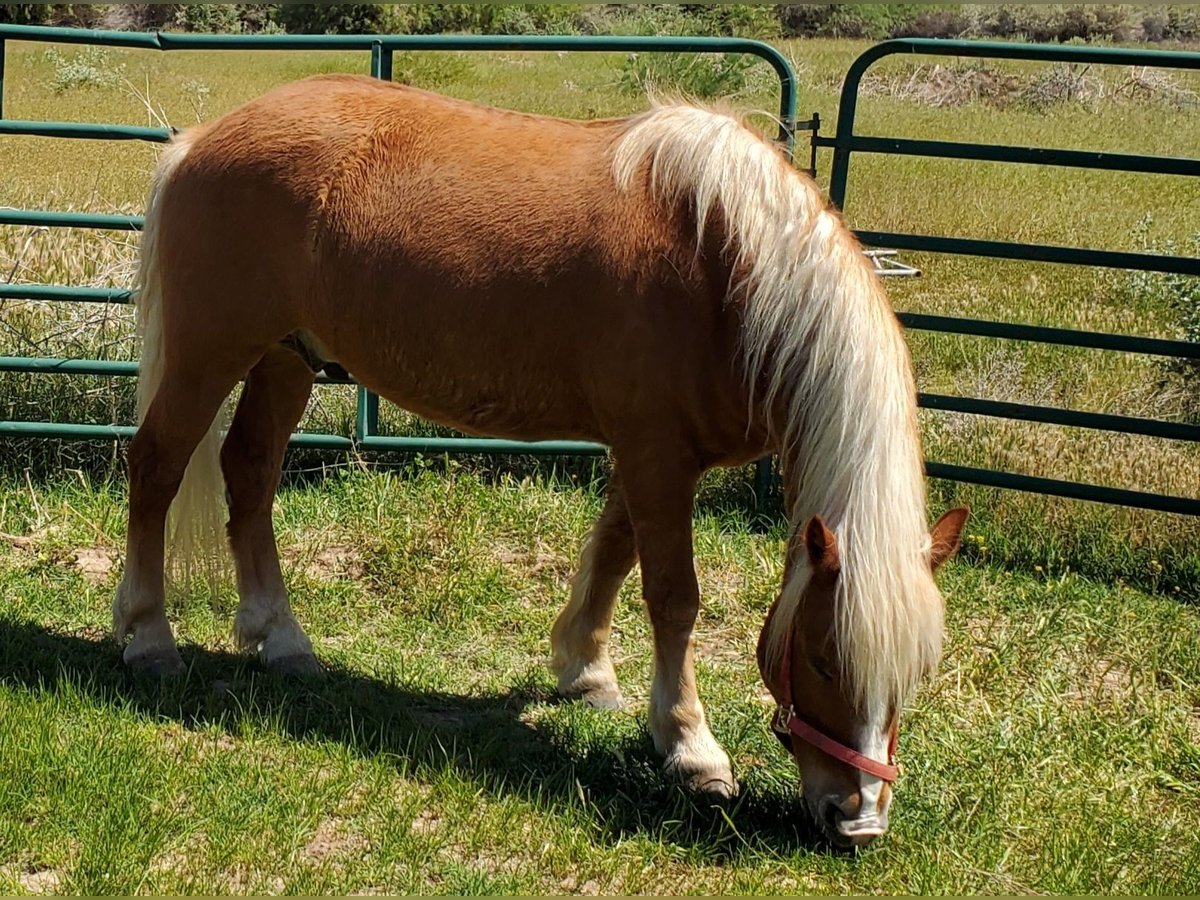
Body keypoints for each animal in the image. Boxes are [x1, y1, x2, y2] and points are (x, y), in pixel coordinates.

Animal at [114, 74, 964, 849]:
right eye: (822, 660)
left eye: (917, 674)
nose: (858, 820)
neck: (724, 265)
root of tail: (201, 139)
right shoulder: (657, 452)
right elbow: (673, 597)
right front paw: (691, 748)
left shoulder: (651, 452)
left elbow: (615, 553)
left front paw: (587, 671)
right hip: (209, 351)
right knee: (156, 467)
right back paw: (148, 637)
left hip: (287, 358)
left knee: (250, 472)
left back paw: (281, 639)